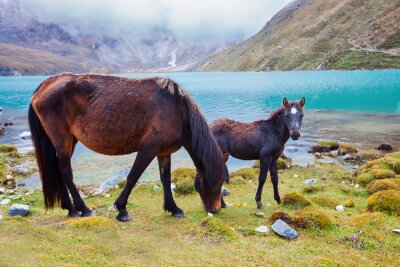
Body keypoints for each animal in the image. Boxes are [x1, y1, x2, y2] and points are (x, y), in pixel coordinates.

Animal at [28, 73, 228, 222]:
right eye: (215, 181)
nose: (216, 208)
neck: (177, 111)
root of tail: (46, 84)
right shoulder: (148, 150)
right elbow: (133, 177)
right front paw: (122, 210)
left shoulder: (163, 152)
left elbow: (165, 179)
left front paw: (173, 208)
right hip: (62, 140)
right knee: (65, 172)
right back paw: (83, 209)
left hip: (70, 140)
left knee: (58, 170)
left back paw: (70, 209)